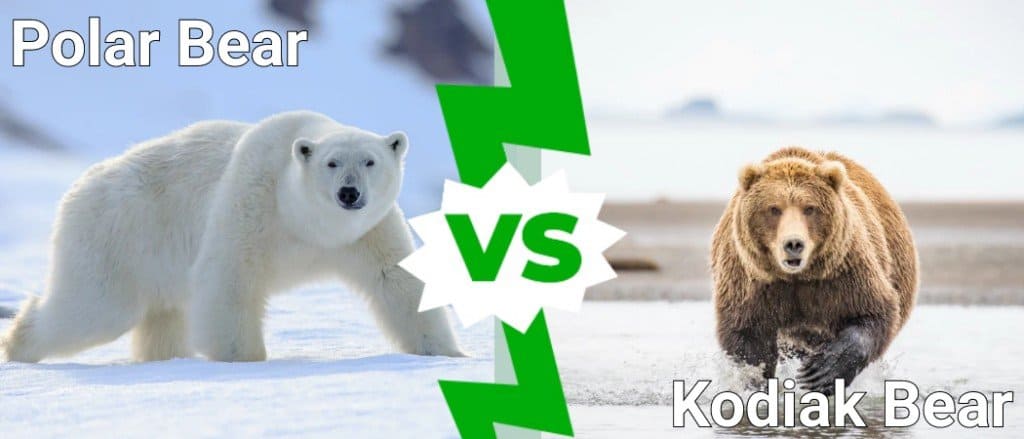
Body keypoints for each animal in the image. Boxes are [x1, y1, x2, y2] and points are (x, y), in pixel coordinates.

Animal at [2, 110, 464, 363]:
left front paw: (446, 353)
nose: (349, 193)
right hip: (115, 238)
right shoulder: (253, 199)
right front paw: (245, 358)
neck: (308, 223)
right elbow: (229, 278)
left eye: (370, 161)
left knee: (162, 317)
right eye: (332, 163)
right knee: (91, 309)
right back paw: (18, 344)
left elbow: (399, 281)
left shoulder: (368, 231)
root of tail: (78, 187)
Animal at [711, 146, 917, 395]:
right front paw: (757, 382)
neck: (797, 277)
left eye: (809, 208)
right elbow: (749, 338)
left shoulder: (843, 272)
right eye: (774, 208)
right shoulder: (752, 282)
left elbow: (872, 311)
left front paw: (822, 372)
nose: (793, 244)